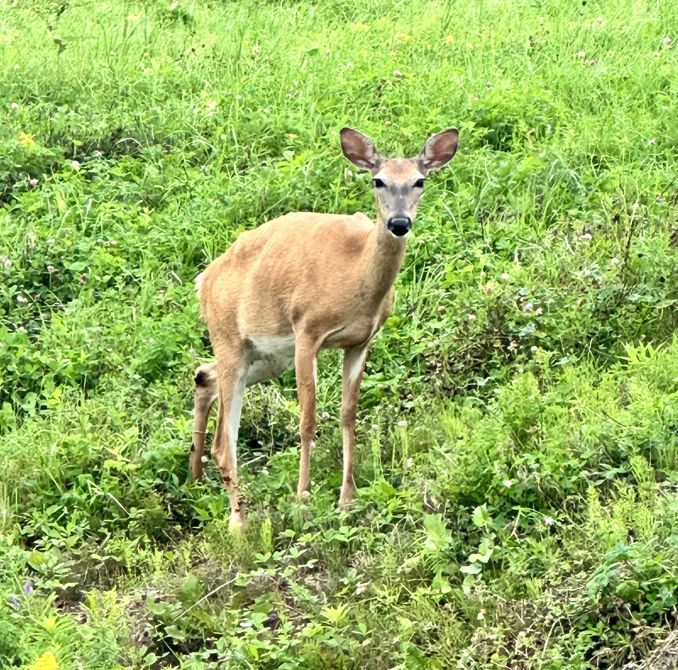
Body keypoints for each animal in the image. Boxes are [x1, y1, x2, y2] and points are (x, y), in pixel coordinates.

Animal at [189, 126, 460, 532]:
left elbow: (349, 414)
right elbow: (308, 419)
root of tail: (204, 280)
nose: (399, 223)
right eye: (378, 180)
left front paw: (347, 498)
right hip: (230, 338)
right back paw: (239, 521)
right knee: (224, 441)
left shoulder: (361, 342)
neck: (353, 275)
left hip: (266, 355)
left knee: (203, 376)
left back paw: (194, 479)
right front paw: (302, 498)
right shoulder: (307, 331)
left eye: (419, 181)